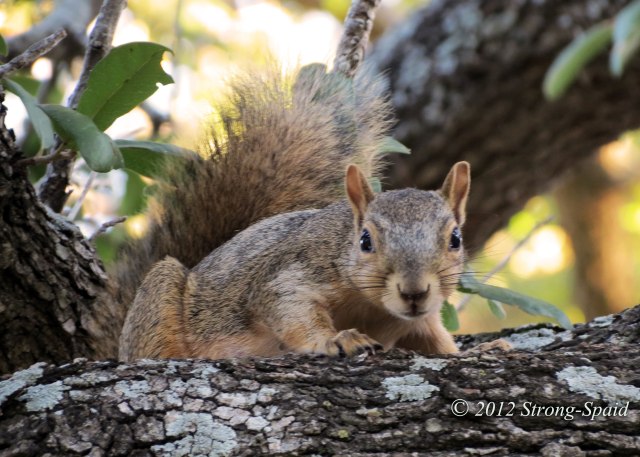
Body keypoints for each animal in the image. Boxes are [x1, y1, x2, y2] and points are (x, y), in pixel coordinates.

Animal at [89, 64, 470, 361]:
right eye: (365, 241)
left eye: (455, 239)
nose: (414, 292)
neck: (376, 309)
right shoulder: (291, 272)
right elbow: (290, 309)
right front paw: (335, 339)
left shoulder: (422, 322)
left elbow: (439, 343)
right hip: (160, 296)